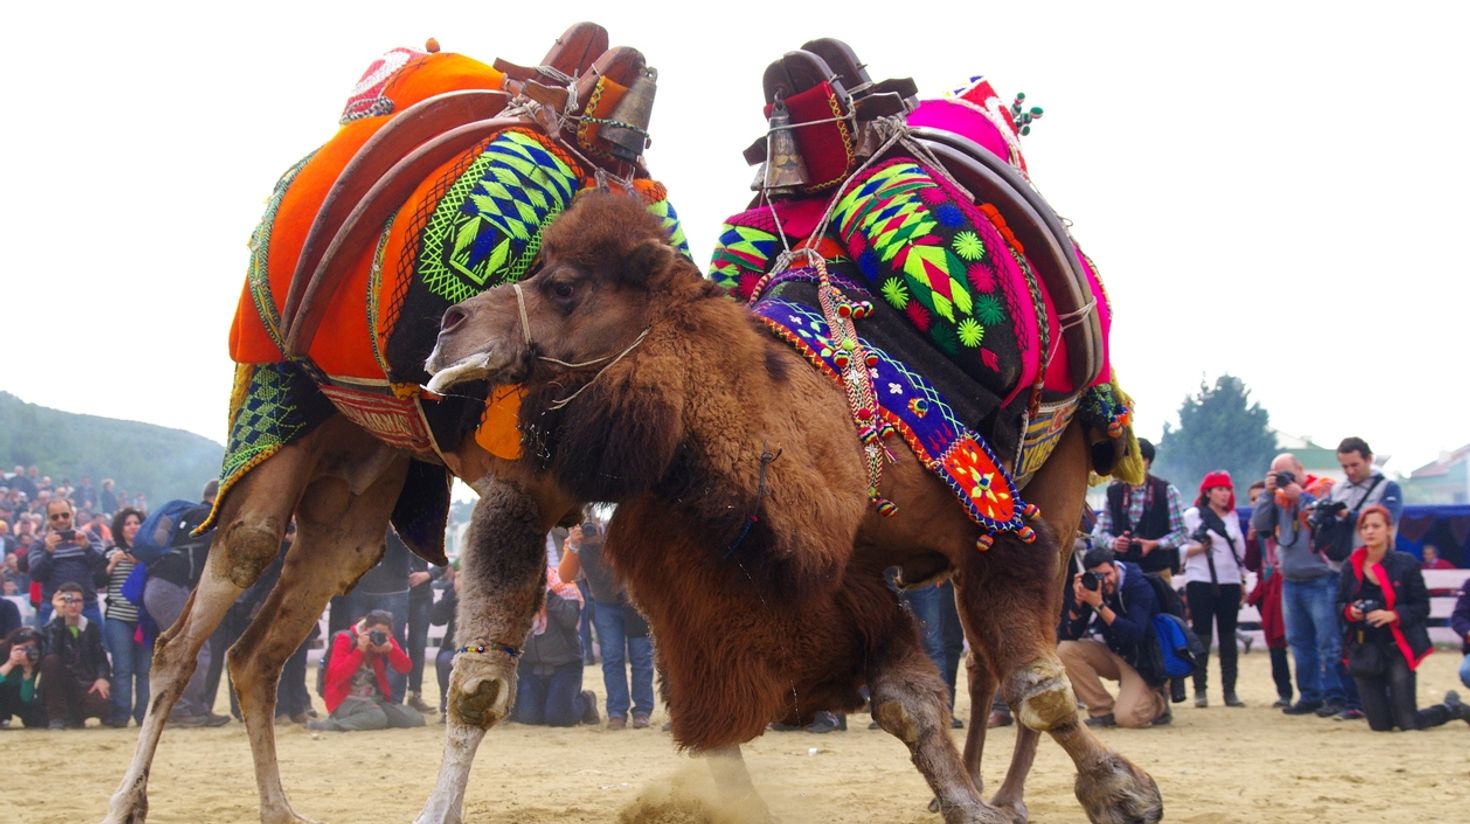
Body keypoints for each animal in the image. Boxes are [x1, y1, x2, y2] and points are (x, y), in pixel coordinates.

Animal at [102, 24, 675, 824]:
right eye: (557, 285)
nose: (457, 334)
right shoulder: (518, 495)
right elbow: (480, 688)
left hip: (357, 498)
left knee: (256, 655)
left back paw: (281, 808)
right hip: (276, 411)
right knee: (195, 623)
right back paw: (127, 801)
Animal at [423, 192, 1163, 823]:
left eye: (565, 286)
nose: (448, 327)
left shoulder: (1000, 525)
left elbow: (1038, 687)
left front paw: (1124, 794)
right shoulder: (832, 572)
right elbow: (906, 702)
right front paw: (964, 801)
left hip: (1057, 492)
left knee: (1011, 666)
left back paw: (1011, 794)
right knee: (982, 669)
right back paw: (985, 789)